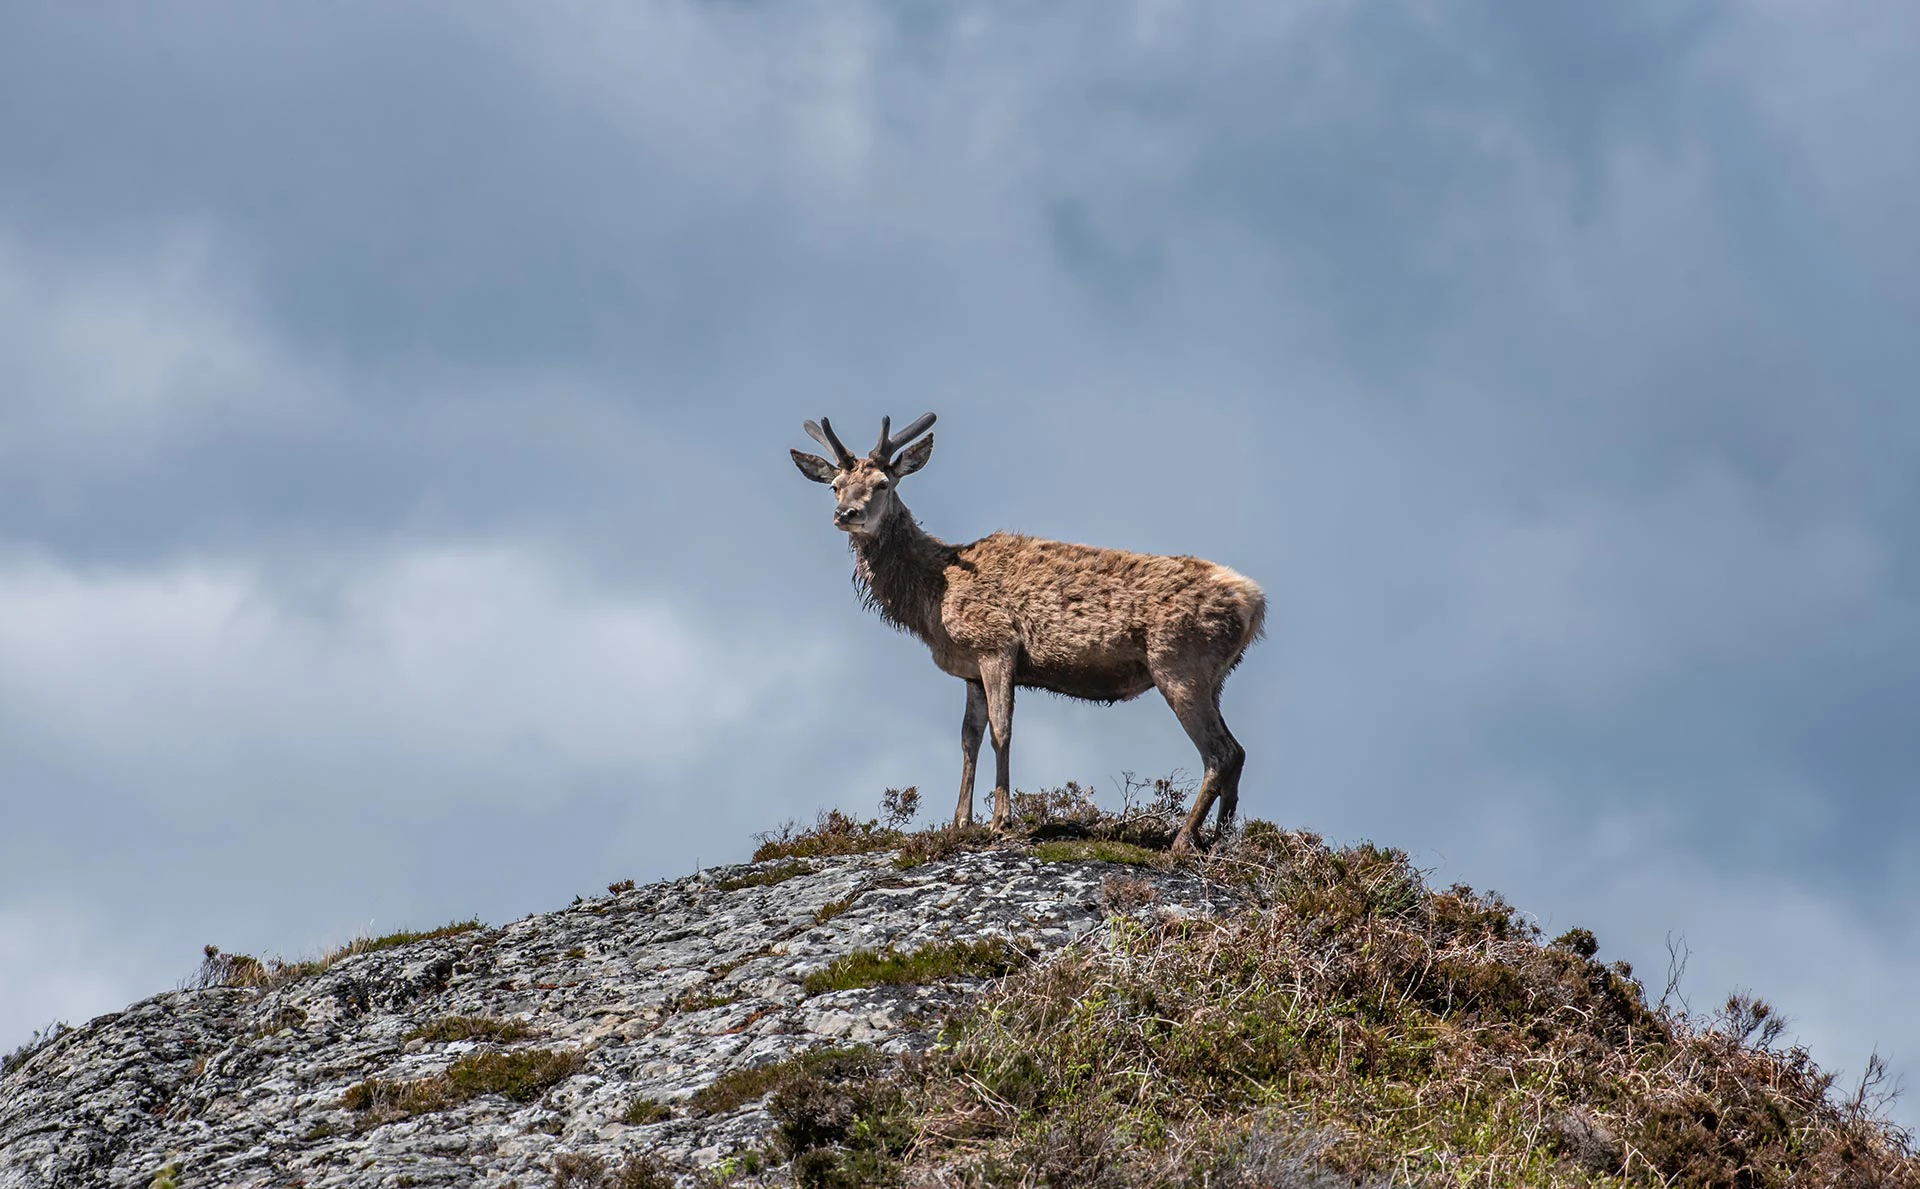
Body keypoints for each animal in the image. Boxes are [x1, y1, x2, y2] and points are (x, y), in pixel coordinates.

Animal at [787, 414, 1267, 852]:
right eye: (835, 486)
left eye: (884, 483)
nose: (846, 514)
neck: (933, 597)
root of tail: (1253, 601)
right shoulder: (969, 669)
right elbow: (968, 738)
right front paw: (959, 823)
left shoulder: (996, 644)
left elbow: (1002, 730)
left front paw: (1001, 822)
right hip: (1213, 676)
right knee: (1238, 751)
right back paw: (1222, 843)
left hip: (1179, 663)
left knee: (1220, 752)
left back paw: (1183, 842)